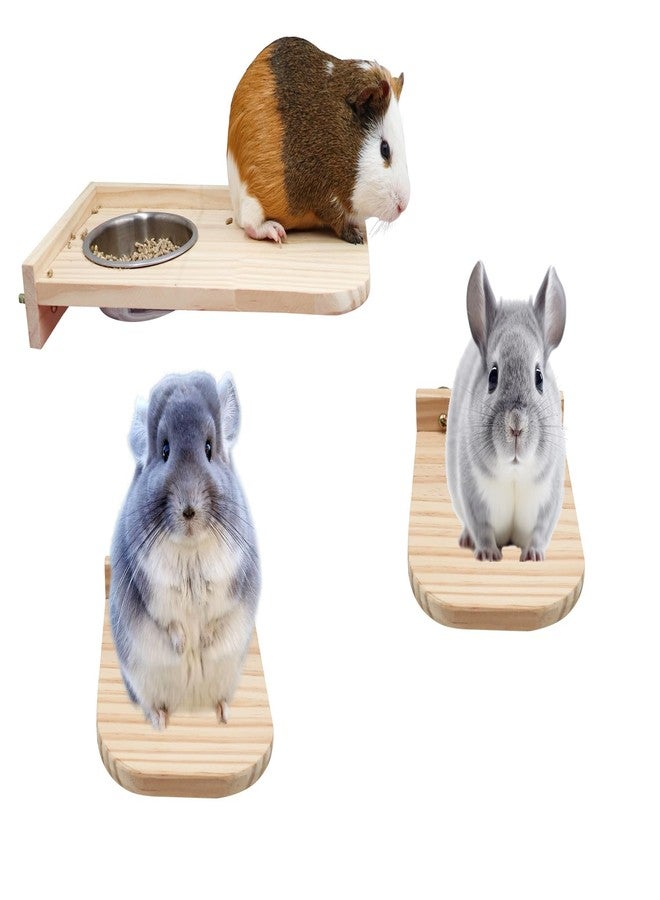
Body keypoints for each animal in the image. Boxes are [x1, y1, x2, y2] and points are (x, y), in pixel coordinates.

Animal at [109, 372, 260, 729]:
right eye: (165, 451)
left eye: (208, 448)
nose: (188, 510)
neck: (190, 548)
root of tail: (190, 707)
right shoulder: (154, 588)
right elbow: (171, 621)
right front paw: (183, 645)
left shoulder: (231, 582)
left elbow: (216, 616)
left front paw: (202, 642)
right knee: (153, 704)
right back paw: (160, 723)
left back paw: (224, 715)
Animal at [227, 36, 410, 244]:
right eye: (384, 149)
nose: (403, 205)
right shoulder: (325, 195)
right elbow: (337, 217)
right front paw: (357, 238)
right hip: (253, 199)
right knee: (250, 224)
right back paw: (277, 233)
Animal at [446, 262, 567, 562]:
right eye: (493, 375)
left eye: (539, 377)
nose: (516, 425)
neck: (514, 473)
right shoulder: (474, 499)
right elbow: (483, 530)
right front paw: (489, 555)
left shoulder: (547, 505)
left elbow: (539, 534)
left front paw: (533, 556)